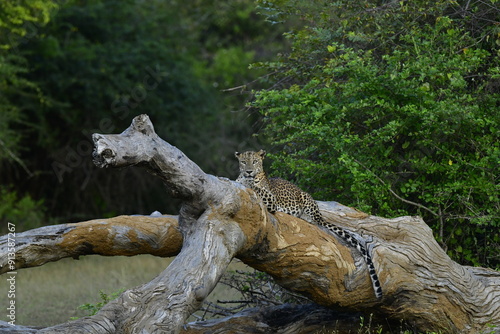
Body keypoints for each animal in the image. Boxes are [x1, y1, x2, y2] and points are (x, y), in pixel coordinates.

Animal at [234, 150, 382, 298]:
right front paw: (243, 179)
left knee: (314, 219)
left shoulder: (271, 200)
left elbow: (256, 187)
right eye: (243, 162)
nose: (248, 171)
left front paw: (249, 181)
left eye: (255, 162)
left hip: (305, 197)